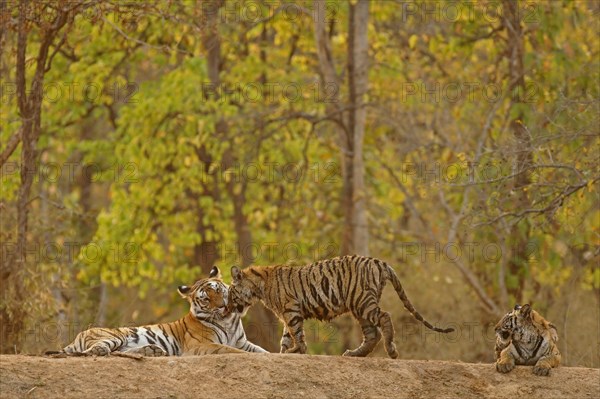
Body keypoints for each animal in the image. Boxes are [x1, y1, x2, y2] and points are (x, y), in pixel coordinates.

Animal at [56, 268, 268, 356]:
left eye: (217, 290)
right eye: (206, 299)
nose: (223, 306)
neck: (228, 320)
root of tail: (77, 336)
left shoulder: (242, 342)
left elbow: (262, 350)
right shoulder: (202, 344)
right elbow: (228, 349)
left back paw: (152, 350)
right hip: (113, 336)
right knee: (95, 350)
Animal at [227, 256, 452, 360]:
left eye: (230, 293)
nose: (228, 307)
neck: (258, 288)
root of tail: (380, 262)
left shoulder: (291, 310)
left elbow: (297, 334)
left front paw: (297, 351)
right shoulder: (286, 314)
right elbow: (286, 336)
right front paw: (285, 352)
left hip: (362, 301)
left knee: (385, 317)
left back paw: (392, 350)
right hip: (359, 307)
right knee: (372, 334)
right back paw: (354, 354)